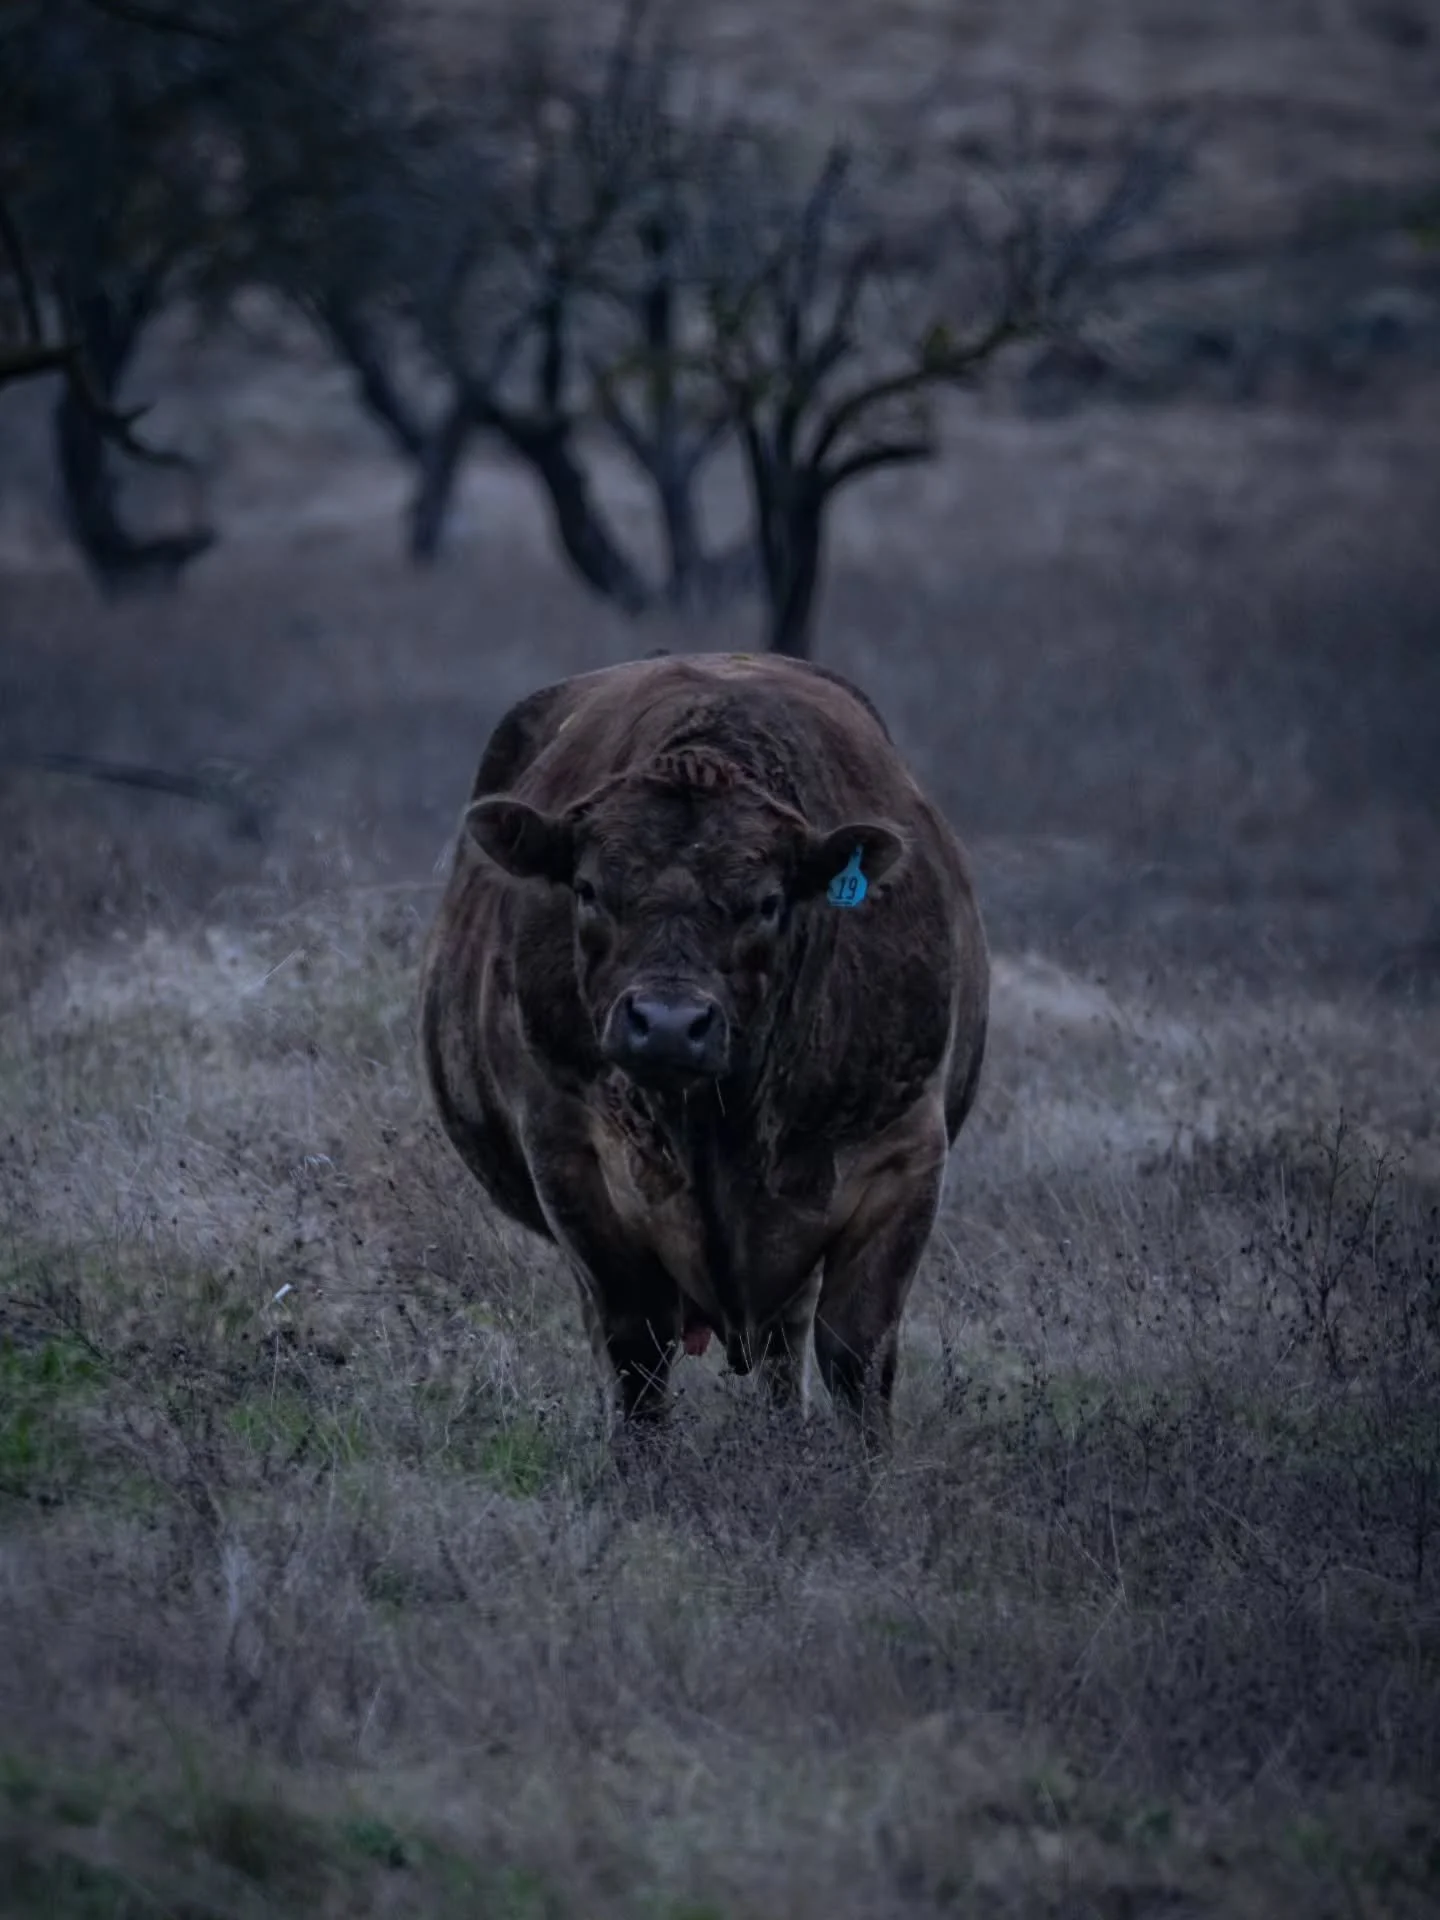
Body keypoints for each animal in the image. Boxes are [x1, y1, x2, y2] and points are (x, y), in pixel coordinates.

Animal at [419, 652, 989, 1451]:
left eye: (768, 901)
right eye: (588, 889)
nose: (666, 1022)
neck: (721, 1129)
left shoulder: (903, 1157)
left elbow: (856, 1352)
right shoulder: (571, 1160)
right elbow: (635, 1350)